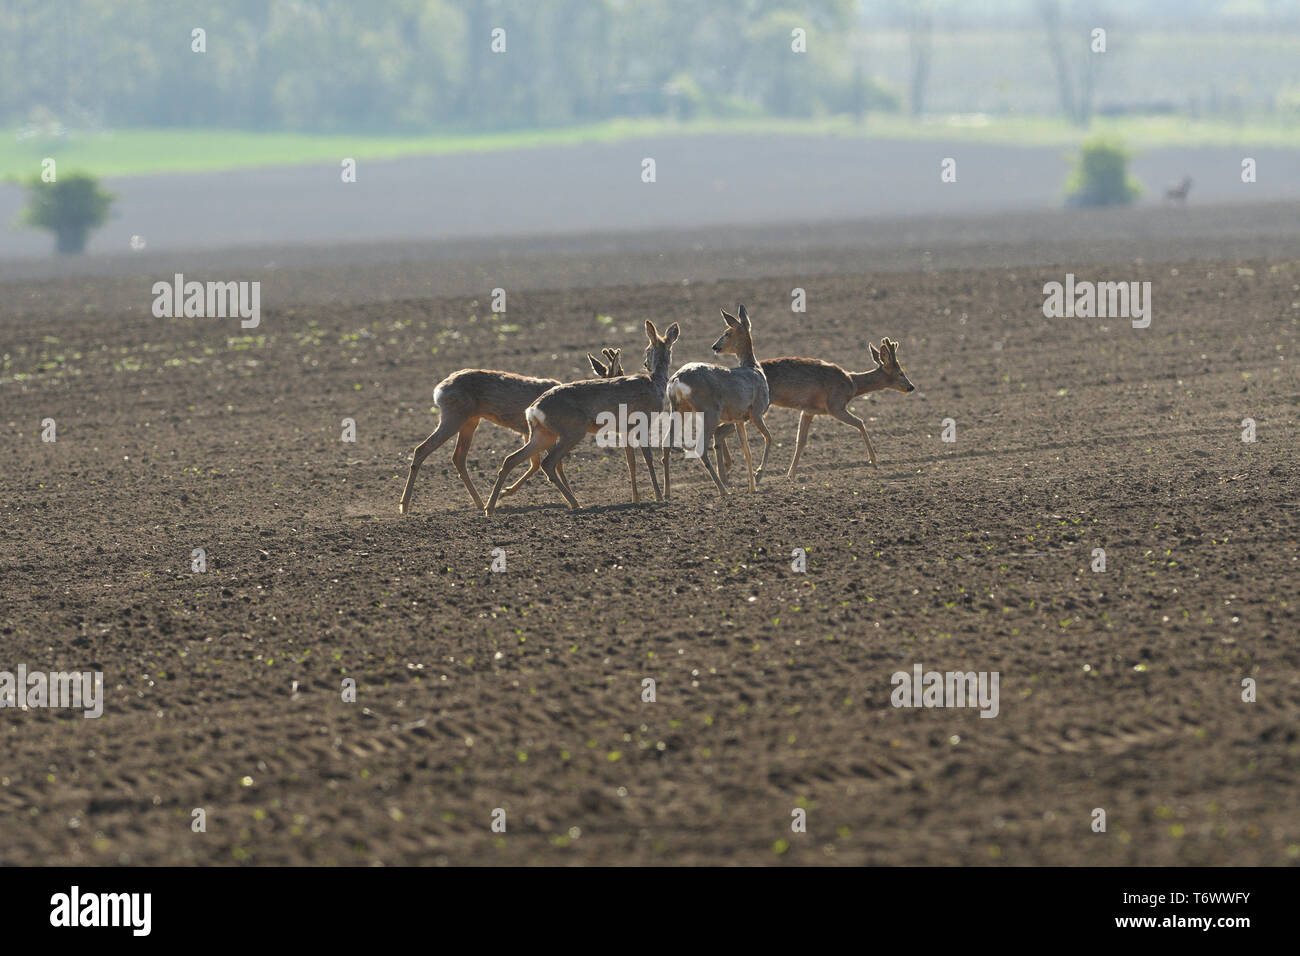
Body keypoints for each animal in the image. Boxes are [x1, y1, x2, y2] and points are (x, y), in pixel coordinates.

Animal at [480, 321, 681, 515]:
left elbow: (631, 462)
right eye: (647, 349)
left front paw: (636, 500)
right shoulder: (642, 421)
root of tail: (532, 409)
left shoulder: (625, 429)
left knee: (511, 459)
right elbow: (647, 458)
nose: (646, 364)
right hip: (572, 431)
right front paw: (658, 497)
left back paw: (489, 508)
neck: (655, 384)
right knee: (548, 463)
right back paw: (576, 504)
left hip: (543, 434)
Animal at [660, 304, 769, 502]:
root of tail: (677, 380)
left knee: (666, 443)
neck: (754, 368)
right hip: (709, 411)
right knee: (700, 448)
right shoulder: (756, 412)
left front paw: (752, 487)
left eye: (727, 333)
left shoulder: (739, 419)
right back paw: (723, 490)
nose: (715, 346)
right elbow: (769, 439)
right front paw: (758, 476)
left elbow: (747, 452)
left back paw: (667, 492)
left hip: (678, 410)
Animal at [712, 335, 915, 478]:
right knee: (719, 430)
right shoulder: (835, 405)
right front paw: (874, 462)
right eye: (900, 372)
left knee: (718, 429)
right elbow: (860, 423)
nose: (911, 387)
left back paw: (726, 468)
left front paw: (791, 475)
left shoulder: (808, 410)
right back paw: (727, 468)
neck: (852, 384)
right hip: (757, 408)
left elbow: (801, 441)